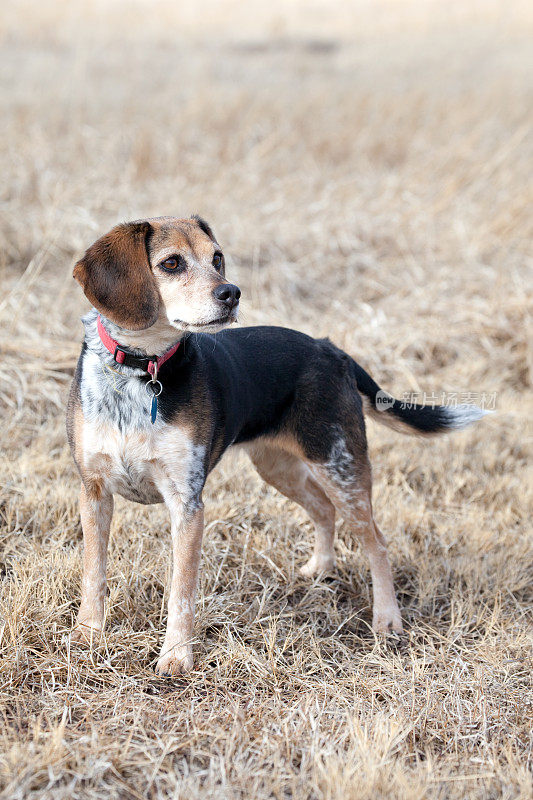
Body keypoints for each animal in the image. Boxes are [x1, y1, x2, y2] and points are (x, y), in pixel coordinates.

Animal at [67, 216, 486, 672]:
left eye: (217, 258)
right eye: (172, 263)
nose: (231, 293)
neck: (142, 369)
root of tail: (330, 348)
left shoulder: (187, 503)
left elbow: (182, 590)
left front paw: (176, 656)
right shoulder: (93, 491)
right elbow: (93, 571)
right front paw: (88, 633)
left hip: (340, 466)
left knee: (376, 540)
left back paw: (387, 619)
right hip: (278, 467)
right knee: (322, 510)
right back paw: (319, 568)